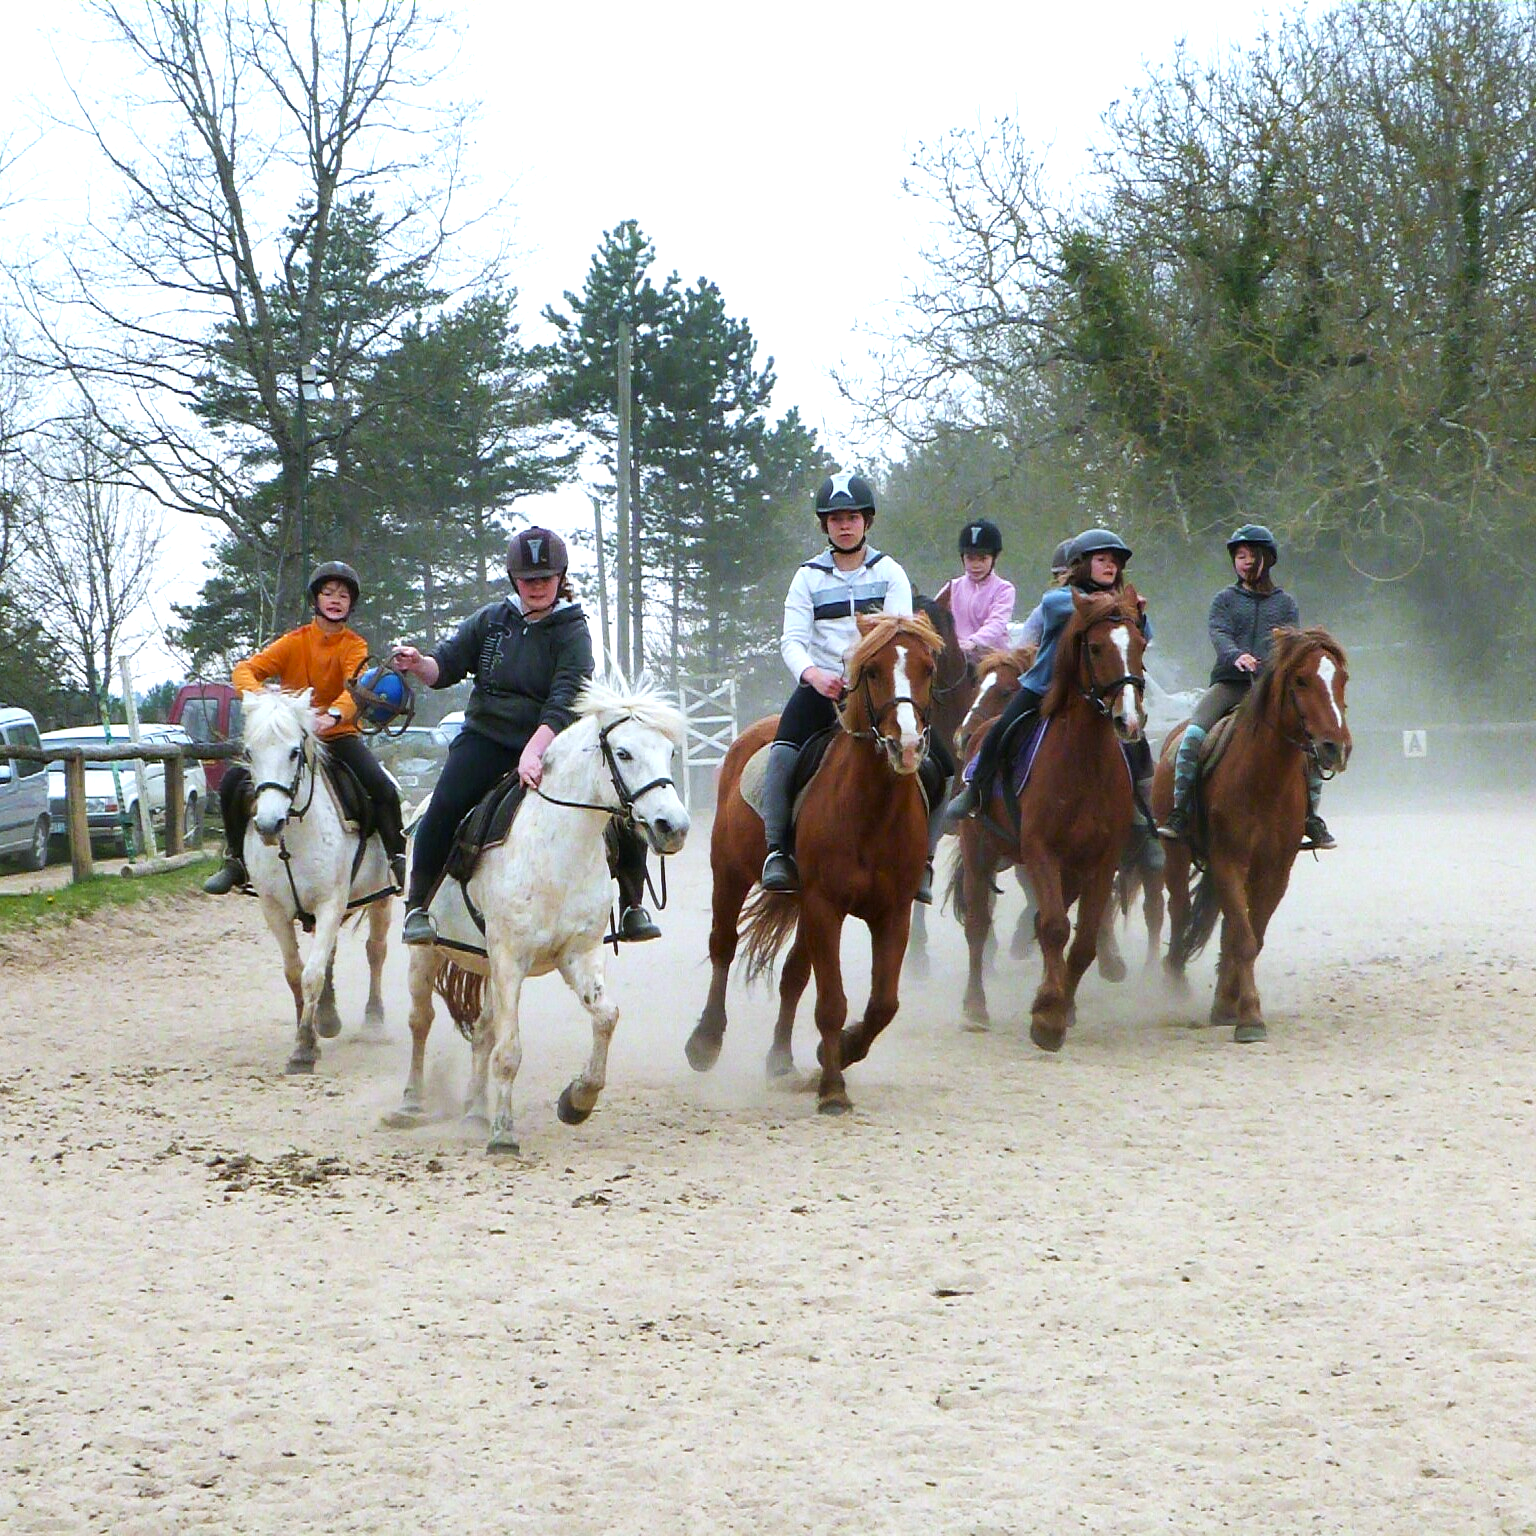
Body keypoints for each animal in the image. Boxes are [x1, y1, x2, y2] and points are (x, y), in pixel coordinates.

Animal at [242, 691, 393, 1075]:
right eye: (249, 752)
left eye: (294, 751)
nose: (269, 825)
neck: (293, 841)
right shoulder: (274, 911)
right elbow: (296, 973)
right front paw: (307, 1035)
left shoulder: (330, 904)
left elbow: (311, 974)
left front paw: (303, 1052)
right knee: (330, 956)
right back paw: (327, 1017)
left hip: (380, 900)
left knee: (376, 952)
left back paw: (374, 1022)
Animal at [387, 672, 694, 1155]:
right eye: (624, 752)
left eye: (669, 753)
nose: (673, 827)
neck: (558, 846)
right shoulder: (511, 959)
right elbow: (510, 1050)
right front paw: (503, 1135)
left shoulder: (578, 956)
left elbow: (606, 1017)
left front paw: (577, 1100)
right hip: (429, 955)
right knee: (422, 1021)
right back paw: (411, 1104)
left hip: (488, 966)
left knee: (483, 1031)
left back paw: (476, 1110)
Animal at [691, 611, 940, 1118]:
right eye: (872, 671)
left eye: (928, 668)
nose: (906, 747)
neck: (871, 810)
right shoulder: (825, 906)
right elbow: (831, 1002)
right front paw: (833, 1090)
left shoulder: (894, 913)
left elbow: (882, 1004)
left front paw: (836, 1053)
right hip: (729, 872)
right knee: (723, 946)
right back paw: (705, 1042)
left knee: (792, 976)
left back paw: (781, 1061)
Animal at [952, 592, 1148, 1050]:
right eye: (1096, 647)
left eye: (1139, 645)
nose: (1128, 720)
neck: (1084, 763)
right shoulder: (1042, 851)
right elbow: (1056, 928)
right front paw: (1048, 1019)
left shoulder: (1100, 862)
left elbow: (1082, 940)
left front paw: (1058, 1006)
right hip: (979, 852)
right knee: (978, 925)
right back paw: (974, 1008)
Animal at [1155, 623, 1351, 1044]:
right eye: (1301, 679)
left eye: (1342, 678)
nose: (1335, 748)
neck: (1263, 780)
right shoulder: (1228, 861)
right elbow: (1242, 939)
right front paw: (1249, 1019)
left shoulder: (1274, 870)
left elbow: (1249, 937)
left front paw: (1230, 1006)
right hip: (1175, 855)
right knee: (1178, 912)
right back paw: (1174, 982)